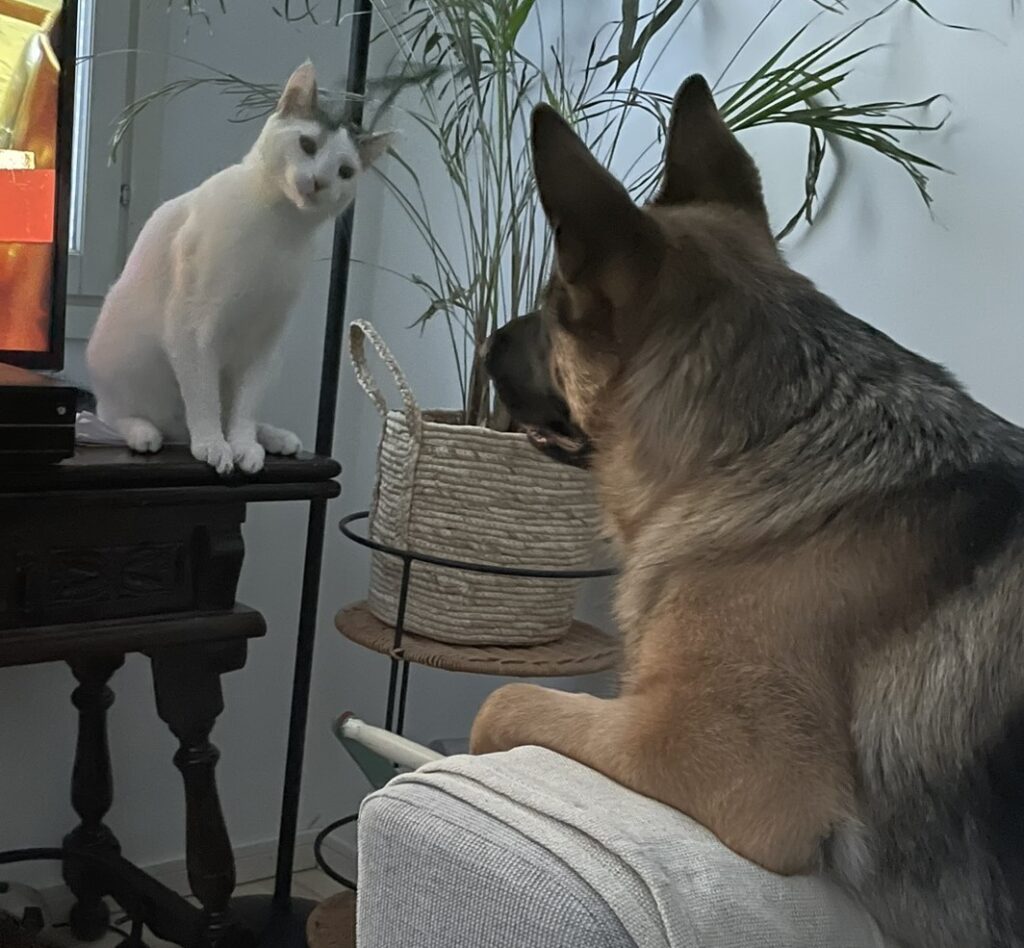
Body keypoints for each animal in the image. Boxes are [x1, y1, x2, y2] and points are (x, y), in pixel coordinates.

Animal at [87, 61, 392, 475]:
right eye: (307, 145)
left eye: (345, 172)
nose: (318, 182)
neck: (278, 227)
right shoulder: (193, 329)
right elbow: (204, 399)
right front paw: (214, 444)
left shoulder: (264, 339)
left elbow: (245, 408)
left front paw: (244, 445)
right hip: (122, 361)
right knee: (115, 413)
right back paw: (143, 432)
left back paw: (275, 438)